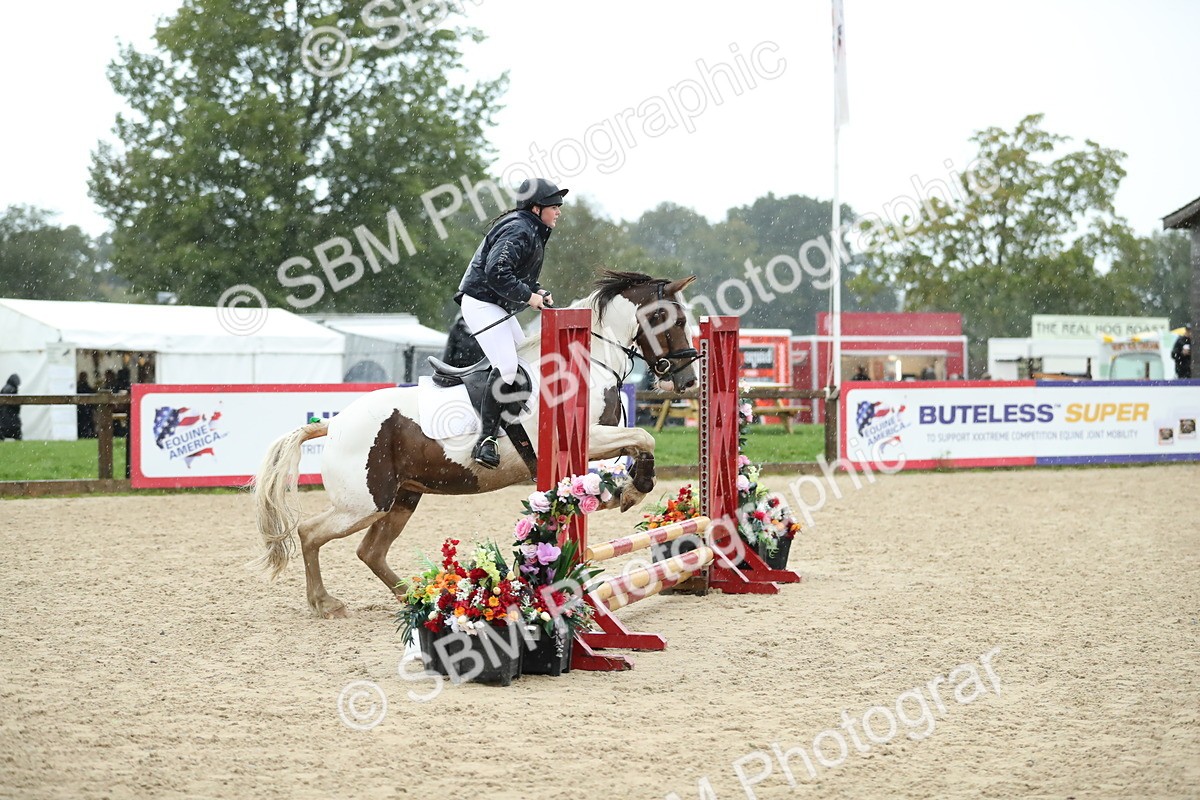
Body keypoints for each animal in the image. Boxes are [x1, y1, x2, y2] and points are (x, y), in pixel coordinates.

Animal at [252, 271, 700, 618]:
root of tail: (334, 425)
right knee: (311, 532)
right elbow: (643, 437)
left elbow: (634, 449)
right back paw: (325, 603)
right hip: (364, 503)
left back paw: (415, 597)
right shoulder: (587, 438)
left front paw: (626, 490)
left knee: (370, 552)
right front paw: (634, 489)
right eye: (668, 318)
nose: (687, 379)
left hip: (402, 499)